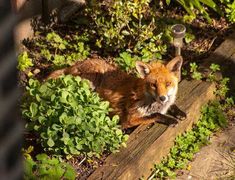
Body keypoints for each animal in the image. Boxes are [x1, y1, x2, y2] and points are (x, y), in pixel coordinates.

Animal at [46, 56, 185, 128]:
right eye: (153, 85)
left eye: (168, 84)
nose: (162, 98)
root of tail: (72, 66)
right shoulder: (130, 119)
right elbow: (156, 115)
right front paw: (171, 120)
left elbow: (172, 106)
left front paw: (180, 112)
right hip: (93, 80)